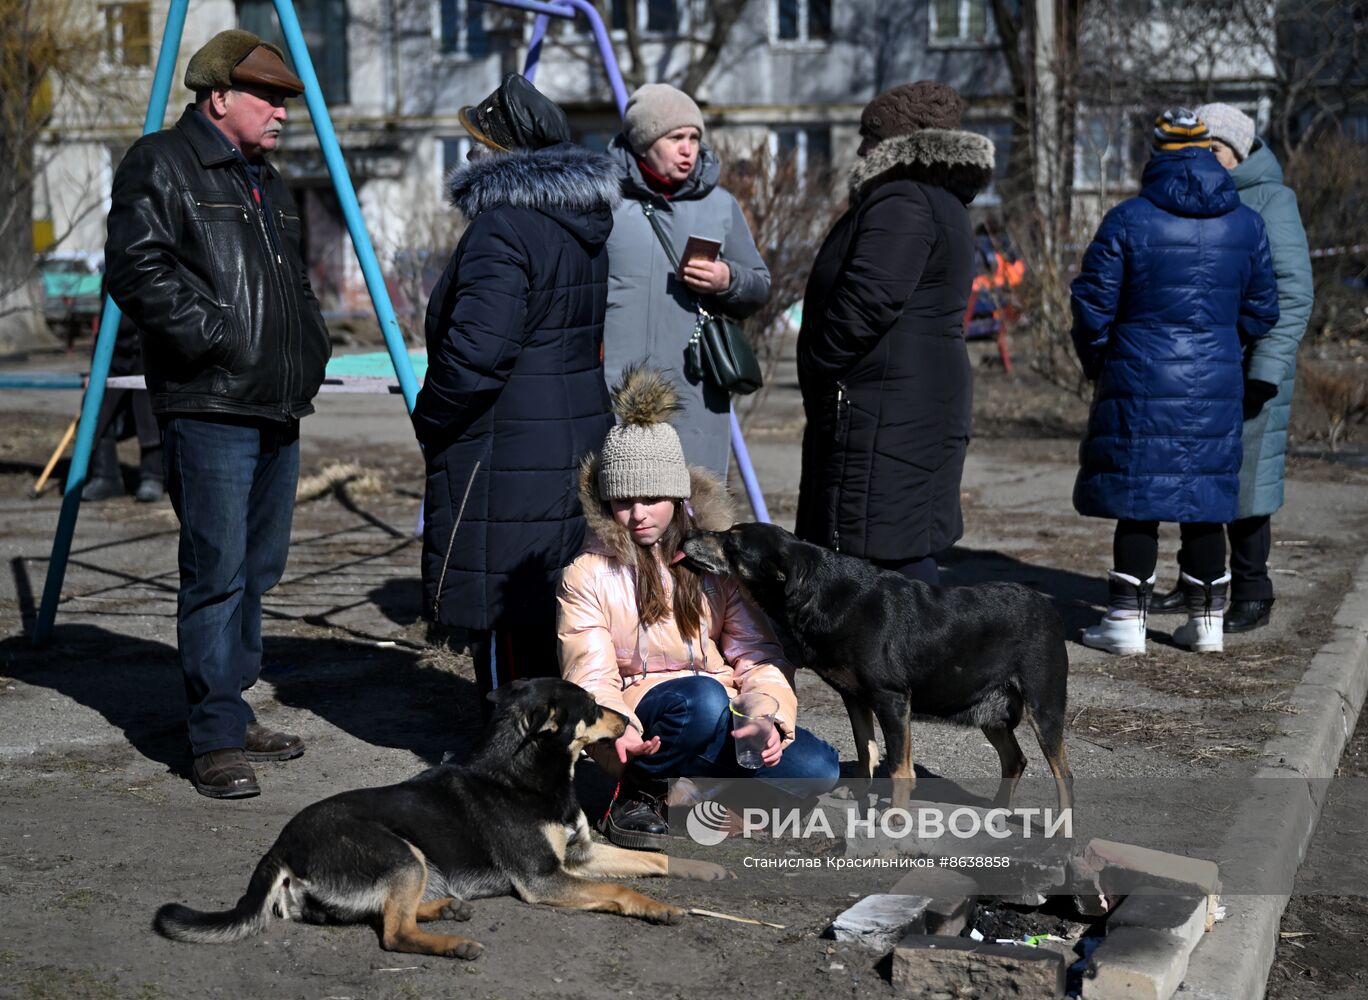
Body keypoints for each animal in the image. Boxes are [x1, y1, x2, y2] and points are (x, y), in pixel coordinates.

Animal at [152, 681, 727, 963]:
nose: (630, 719)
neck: (523, 772)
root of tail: (281, 844)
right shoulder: (545, 878)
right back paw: (453, 943)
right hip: (401, 853)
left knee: (387, 913)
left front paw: (705, 870)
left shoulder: (581, 852)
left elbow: (655, 857)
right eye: (589, 706)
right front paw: (660, 909)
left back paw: (446, 908)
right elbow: (625, 890)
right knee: (393, 933)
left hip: (407, 868)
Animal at [678, 525, 1072, 815]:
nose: (687, 534)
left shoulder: (892, 700)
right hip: (990, 712)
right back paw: (1000, 810)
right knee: (1015, 760)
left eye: (732, 542)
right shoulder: (855, 697)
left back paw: (1059, 833)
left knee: (1063, 774)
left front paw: (895, 816)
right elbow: (866, 750)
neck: (822, 593)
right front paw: (859, 795)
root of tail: (1050, 609)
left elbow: (899, 767)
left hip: (1044, 705)